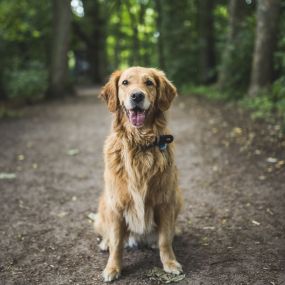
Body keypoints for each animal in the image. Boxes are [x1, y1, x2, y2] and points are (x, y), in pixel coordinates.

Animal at [95, 67, 183, 282]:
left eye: (149, 83)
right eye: (125, 83)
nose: (137, 96)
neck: (139, 143)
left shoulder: (165, 201)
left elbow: (164, 240)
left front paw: (169, 263)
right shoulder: (116, 205)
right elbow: (117, 243)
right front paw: (113, 268)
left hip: (178, 197)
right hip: (104, 202)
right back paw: (105, 243)